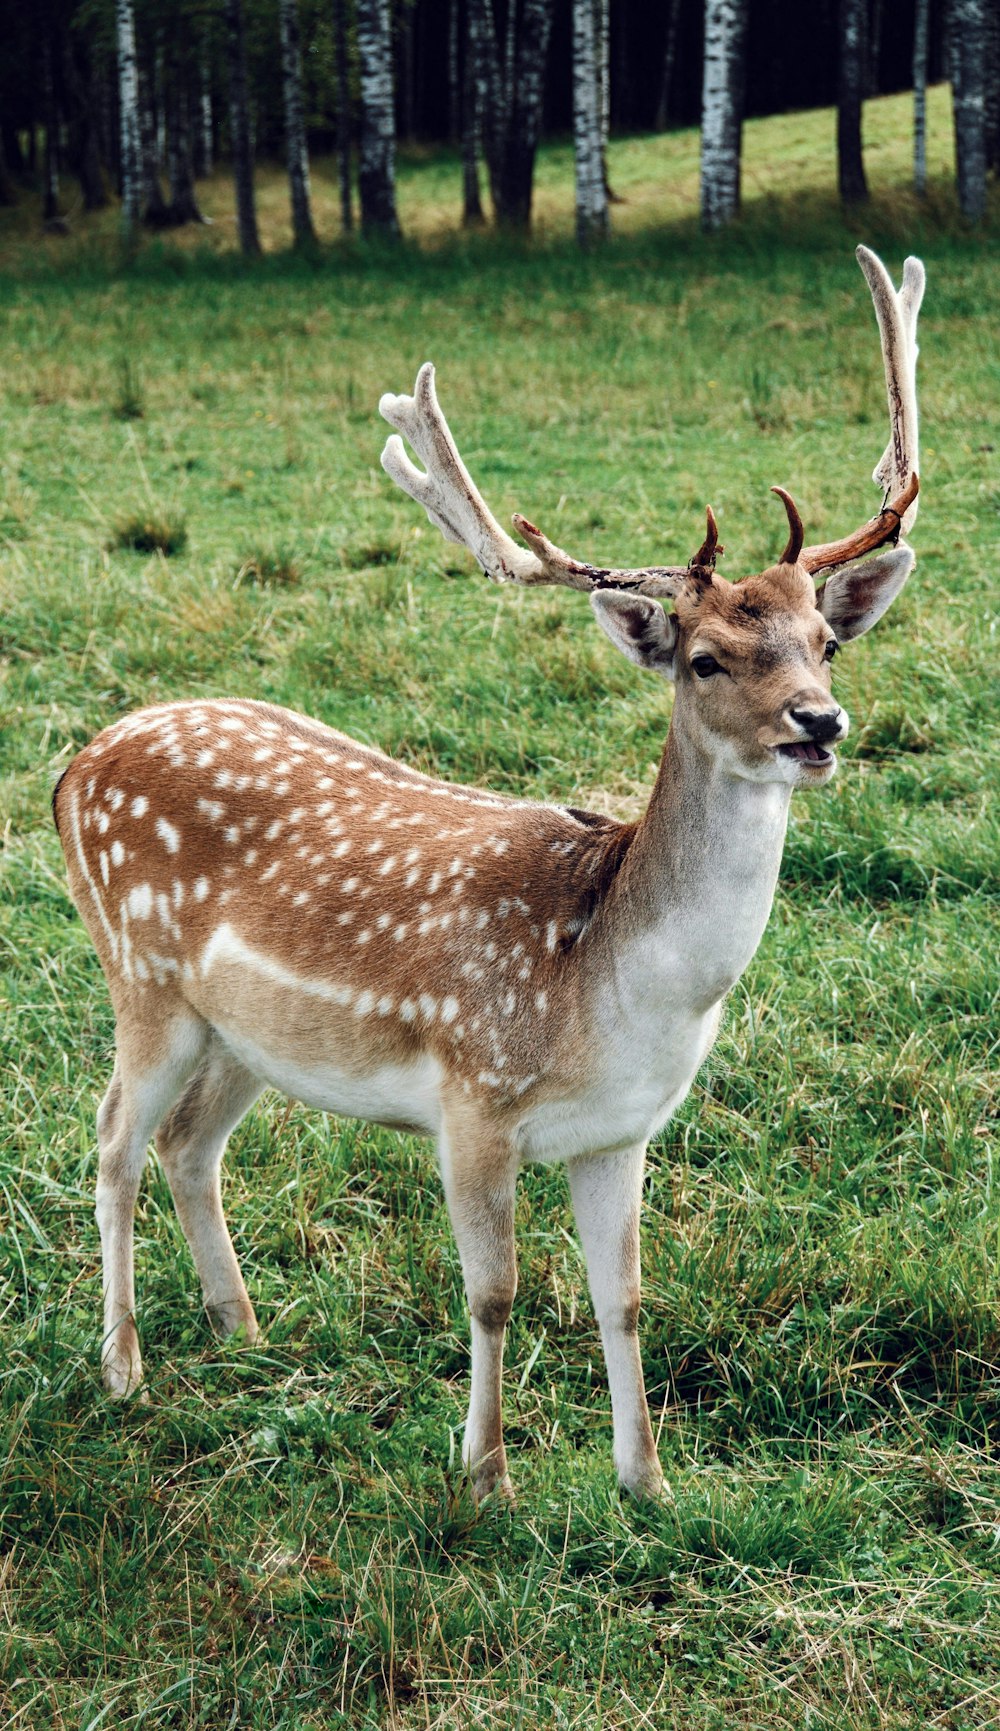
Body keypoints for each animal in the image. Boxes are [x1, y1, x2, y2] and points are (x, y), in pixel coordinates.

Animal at [52, 247, 920, 1502]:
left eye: (825, 641)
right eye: (705, 658)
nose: (821, 723)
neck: (610, 988)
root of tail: (72, 767)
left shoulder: (622, 1131)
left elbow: (626, 1300)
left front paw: (646, 1487)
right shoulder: (472, 1099)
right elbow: (496, 1293)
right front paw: (485, 1480)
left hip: (243, 1032)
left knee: (189, 1143)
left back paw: (242, 1332)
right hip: (142, 977)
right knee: (115, 1136)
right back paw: (123, 1370)